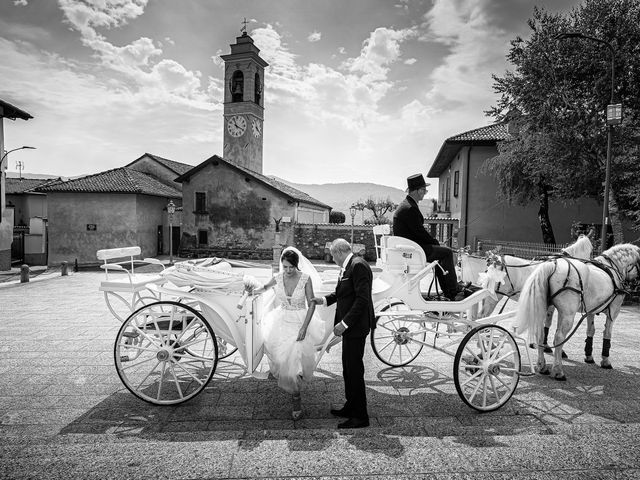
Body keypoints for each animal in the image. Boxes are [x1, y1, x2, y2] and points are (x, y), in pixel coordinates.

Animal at [516, 246, 640, 380]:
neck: (613, 267)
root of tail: (552, 265)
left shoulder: (590, 310)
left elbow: (591, 330)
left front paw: (589, 356)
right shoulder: (614, 310)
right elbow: (607, 333)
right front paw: (605, 361)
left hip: (546, 309)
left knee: (540, 334)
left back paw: (542, 366)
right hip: (568, 314)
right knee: (559, 337)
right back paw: (558, 370)